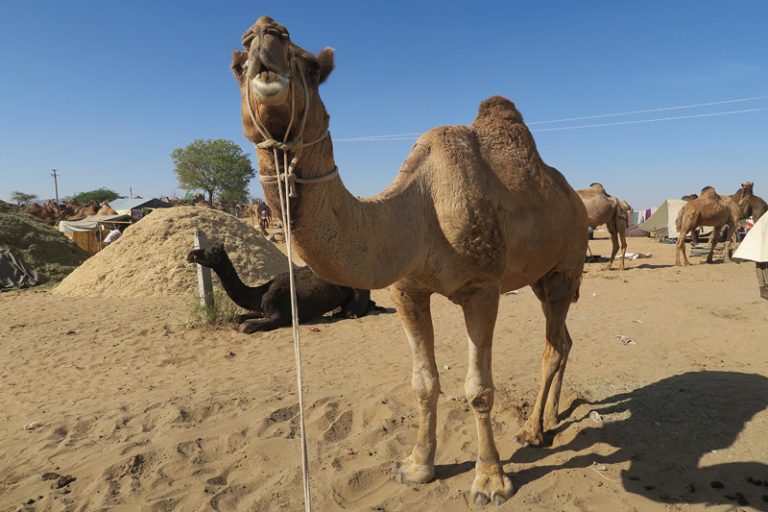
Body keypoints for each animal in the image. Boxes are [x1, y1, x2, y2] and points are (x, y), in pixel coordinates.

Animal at [186, 244, 378, 332]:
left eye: (212, 250)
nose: (191, 254)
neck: (260, 292)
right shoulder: (263, 310)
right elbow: (237, 318)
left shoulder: (280, 316)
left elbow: (245, 327)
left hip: (357, 293)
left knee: (351, 311)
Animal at [230, 16, 588, 504]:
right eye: (237, 63)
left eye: (311, 67)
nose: (265, 32)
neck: (418, 209)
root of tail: (579, 198)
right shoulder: (405, 291)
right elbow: (424, 382)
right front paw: (418, 465)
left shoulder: (482, 290)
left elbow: (479, 389)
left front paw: (490, 480)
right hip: (540, 275)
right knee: (563, 340)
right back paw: (551, 418)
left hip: (566, 266)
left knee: (552, 344)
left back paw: (533, 430)